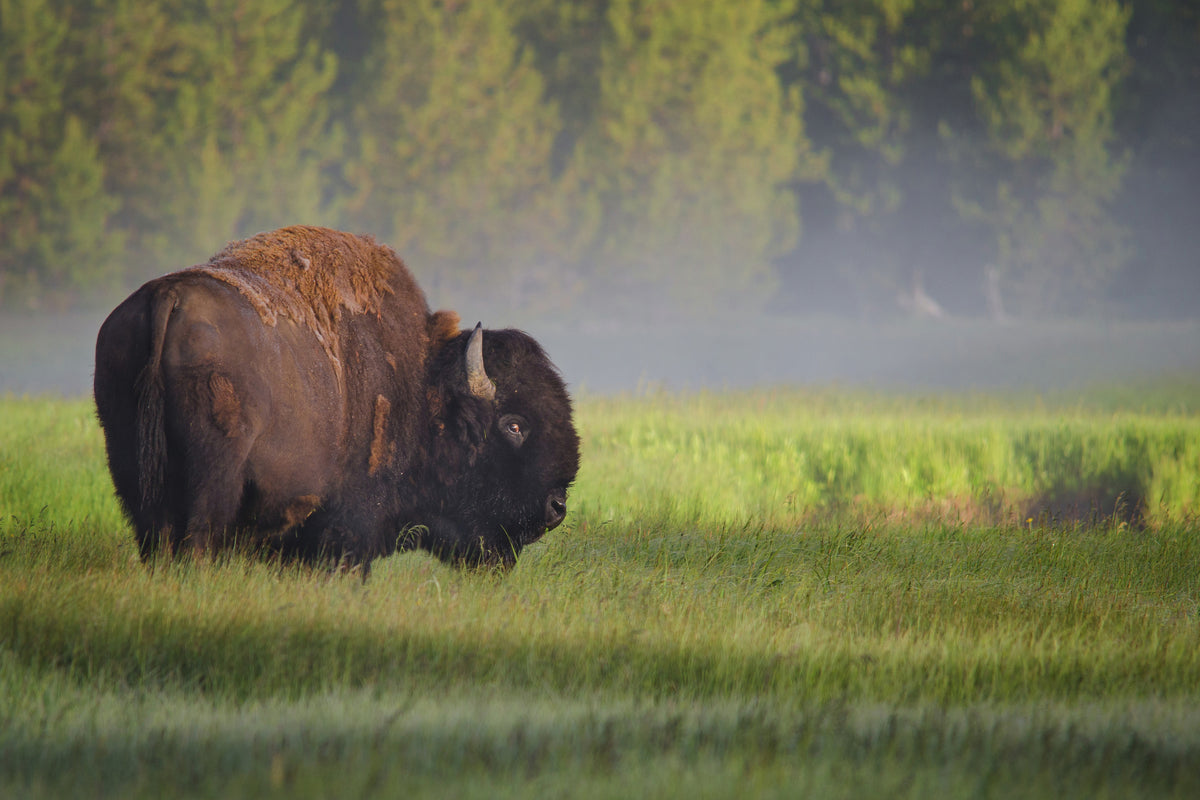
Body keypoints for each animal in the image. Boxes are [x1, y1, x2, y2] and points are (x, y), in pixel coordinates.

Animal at [94, 226, 580, 571]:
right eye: (513, 424)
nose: (557, 507)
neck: (419, 382)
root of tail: (168, 297)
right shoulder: (350, 526)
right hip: (212, 480)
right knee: (197, 540)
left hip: (132, 469)